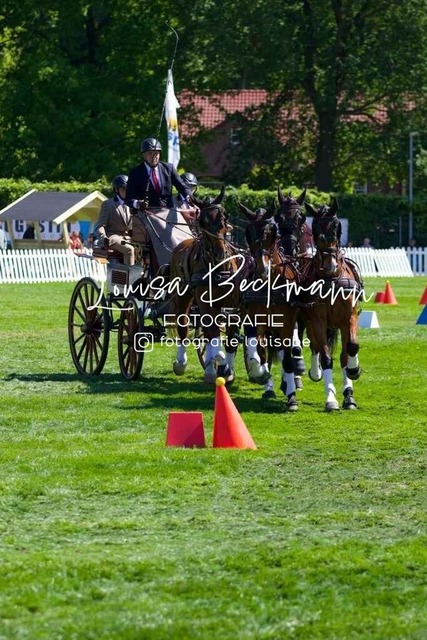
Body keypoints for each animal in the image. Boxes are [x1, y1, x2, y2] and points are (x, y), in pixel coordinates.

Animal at [168, 187, 243, 384]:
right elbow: (213, 332)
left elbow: (230, 337)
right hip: (183, 295)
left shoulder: (233, 305)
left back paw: (210, 366)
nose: (219, 252)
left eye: (224, 217)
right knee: (184, 326)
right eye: (203, 221)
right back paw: (183, 363)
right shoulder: (204, 301)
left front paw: (227, 369)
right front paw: (220, 360)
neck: (218, 267)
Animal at [300, 199, 363, 411]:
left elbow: (351, 347)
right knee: (315, 346)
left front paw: (353, 373)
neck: (331, 279)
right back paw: (315, 372)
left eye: (337, 227)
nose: (330, 266)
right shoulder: (317, 320)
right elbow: (326, 357)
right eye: (314, 228)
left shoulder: (349, 317)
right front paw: (331, 399)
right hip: (308, 321)